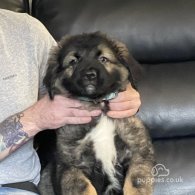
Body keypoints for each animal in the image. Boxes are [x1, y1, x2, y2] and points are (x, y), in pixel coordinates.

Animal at [38, 32, 155, 195]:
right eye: (73, 61)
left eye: (103, 59)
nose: (89, 75)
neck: (99, 105)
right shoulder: (71, 166)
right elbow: (83, 188)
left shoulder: (139, 153)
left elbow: (135, 183)